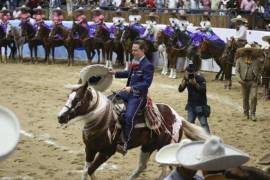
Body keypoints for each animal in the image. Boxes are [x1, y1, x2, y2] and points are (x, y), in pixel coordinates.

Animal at [57, 80, 209, 180]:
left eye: (77, 99)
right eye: (68, 96)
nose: (60, 117)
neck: (102, 120)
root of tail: (178, 117)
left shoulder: (107, 152)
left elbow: (90, 170)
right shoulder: (89, 149)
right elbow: (86, 171)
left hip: (164, 149)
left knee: (166, 170)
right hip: (147, 147)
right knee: (142, 167)